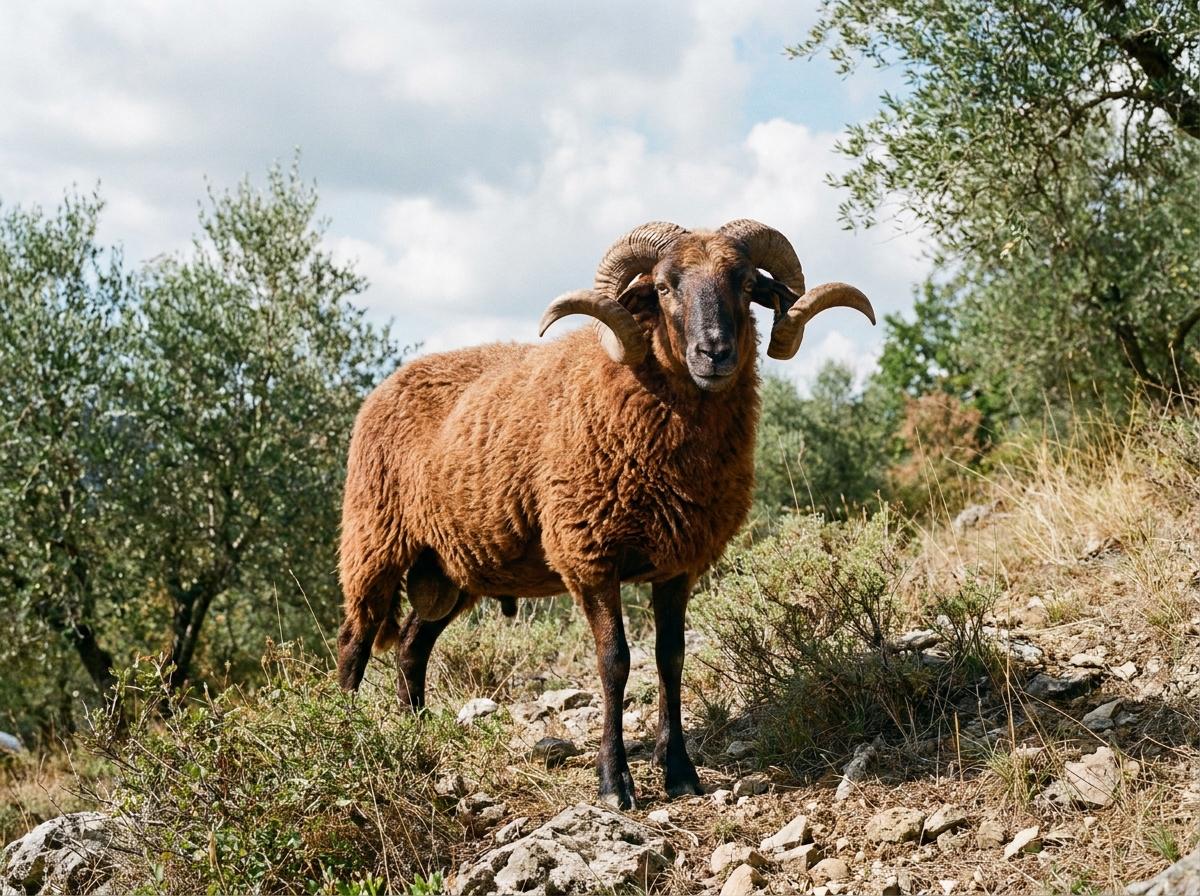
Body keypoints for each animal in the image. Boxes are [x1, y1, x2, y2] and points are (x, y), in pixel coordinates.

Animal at [336, 220, 874, 808]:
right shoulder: (589, 557)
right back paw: (342, 736)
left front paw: (679, 770)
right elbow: (614, 662)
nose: (714, 353)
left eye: (747, 282)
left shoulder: (678, 565)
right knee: (354, 644)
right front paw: (615, 782)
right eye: (662, 287)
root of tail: (386, 386)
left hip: (451, 569)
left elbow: (670, 656)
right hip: (374, 542)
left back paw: (417, 732)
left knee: (412, 646)